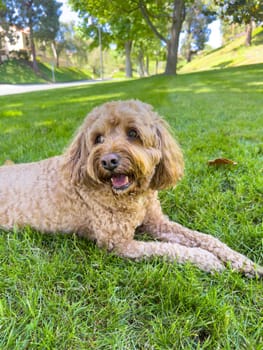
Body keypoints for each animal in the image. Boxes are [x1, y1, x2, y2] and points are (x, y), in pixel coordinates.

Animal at [0, 99, 262, 276]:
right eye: (98, 139)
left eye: (133, 133)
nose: (108, 161)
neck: (133, 196)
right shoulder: (118, 243)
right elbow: (168, 249)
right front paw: (208, 261)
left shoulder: (157, 222)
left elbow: (205, 238)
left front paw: (242, 261)